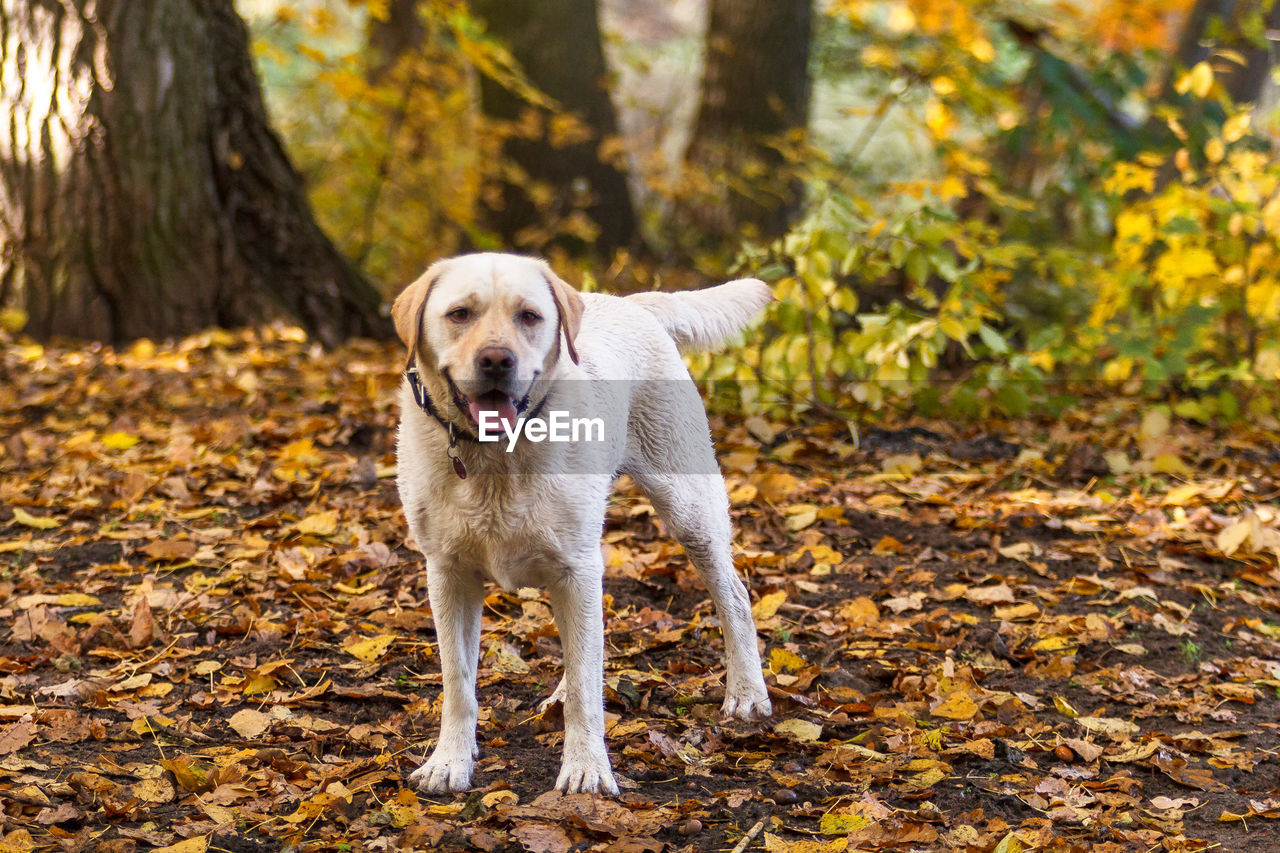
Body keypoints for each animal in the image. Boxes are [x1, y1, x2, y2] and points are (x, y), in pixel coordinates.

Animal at [389, 251, 768, 788]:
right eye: (460, 314)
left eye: (529, 316)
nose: (497, 360)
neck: (496, 458)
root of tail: (633, 303)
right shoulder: (448, 573)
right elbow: (458, 682)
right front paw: (449, 763)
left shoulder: (576, 567)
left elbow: (589, 689)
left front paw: (586, 768)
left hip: (687, 508)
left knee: (732, 595)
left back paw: (748, 693)